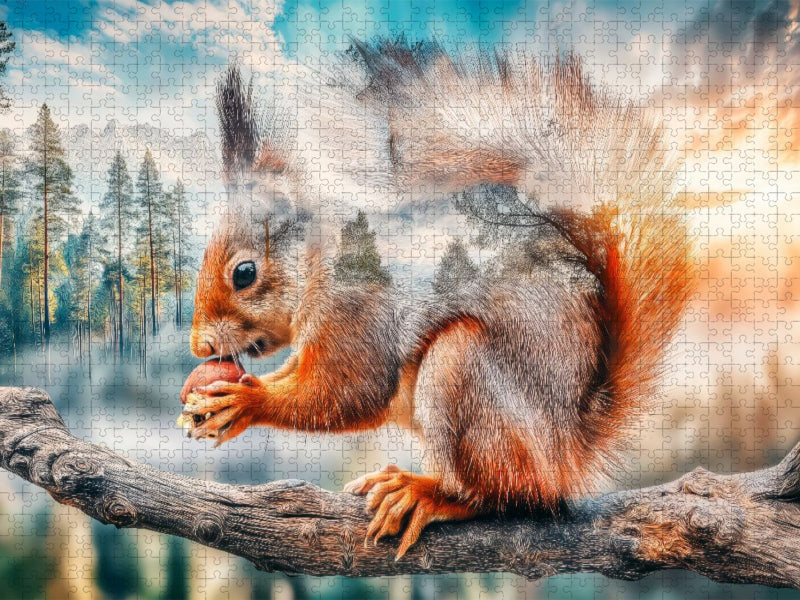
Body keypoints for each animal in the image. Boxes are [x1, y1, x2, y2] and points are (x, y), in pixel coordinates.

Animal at [181, 41, 693, 559]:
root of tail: (570, 447)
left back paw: (425, 493)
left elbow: (349, 393)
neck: (321, 259)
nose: (199, 346)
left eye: (244, 273)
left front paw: (247, 402)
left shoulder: (357, 312)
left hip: (462, 370)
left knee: (509, 493)